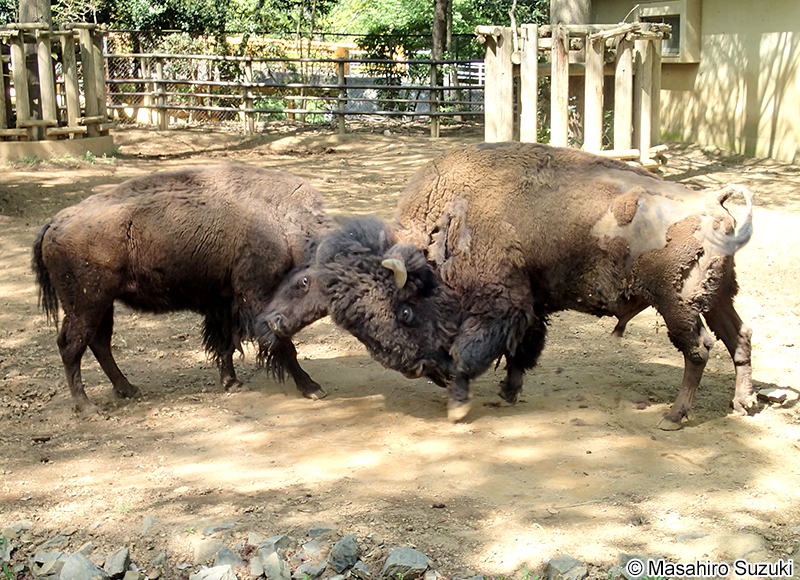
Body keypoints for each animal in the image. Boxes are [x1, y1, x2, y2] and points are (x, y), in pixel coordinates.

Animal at [32, 164, 334, 416]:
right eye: (305, 283)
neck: (284, 226)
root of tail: (55, 222)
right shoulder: (256, 300)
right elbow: (283, 346)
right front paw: (312, 388)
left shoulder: (224, 303)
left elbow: (226, 344)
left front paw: (232, 382)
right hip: (86, 305)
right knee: (72, 346)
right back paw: (87, 407)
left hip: (103, 305)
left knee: (99, 343)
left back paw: (127, 389)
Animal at [265, 142, 755, 428]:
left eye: (404, 311)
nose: (417, 369)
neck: (447, 225)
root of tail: (711, 199)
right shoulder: (530, 305)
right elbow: (522, 349)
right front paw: (508, 392)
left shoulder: (500, 304)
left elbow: (473, 350)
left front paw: (460, 406)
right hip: (716, 297)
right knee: (740, 338)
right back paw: (743, 403)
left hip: (679, 304)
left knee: (699, 349)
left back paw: (675, 415)